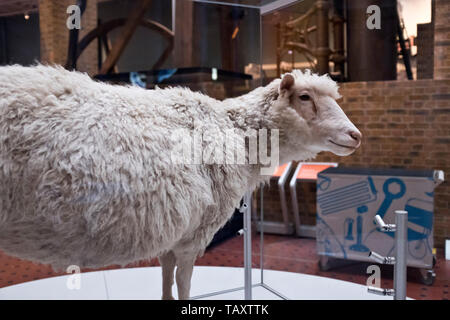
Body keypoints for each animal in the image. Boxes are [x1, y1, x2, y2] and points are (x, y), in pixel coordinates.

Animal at [0, 65, 360, 300]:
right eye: (304, 97)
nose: (355, 135)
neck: (236, 131)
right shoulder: (195, 233)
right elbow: (183, 281)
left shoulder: (173, 231)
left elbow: (166, 275)